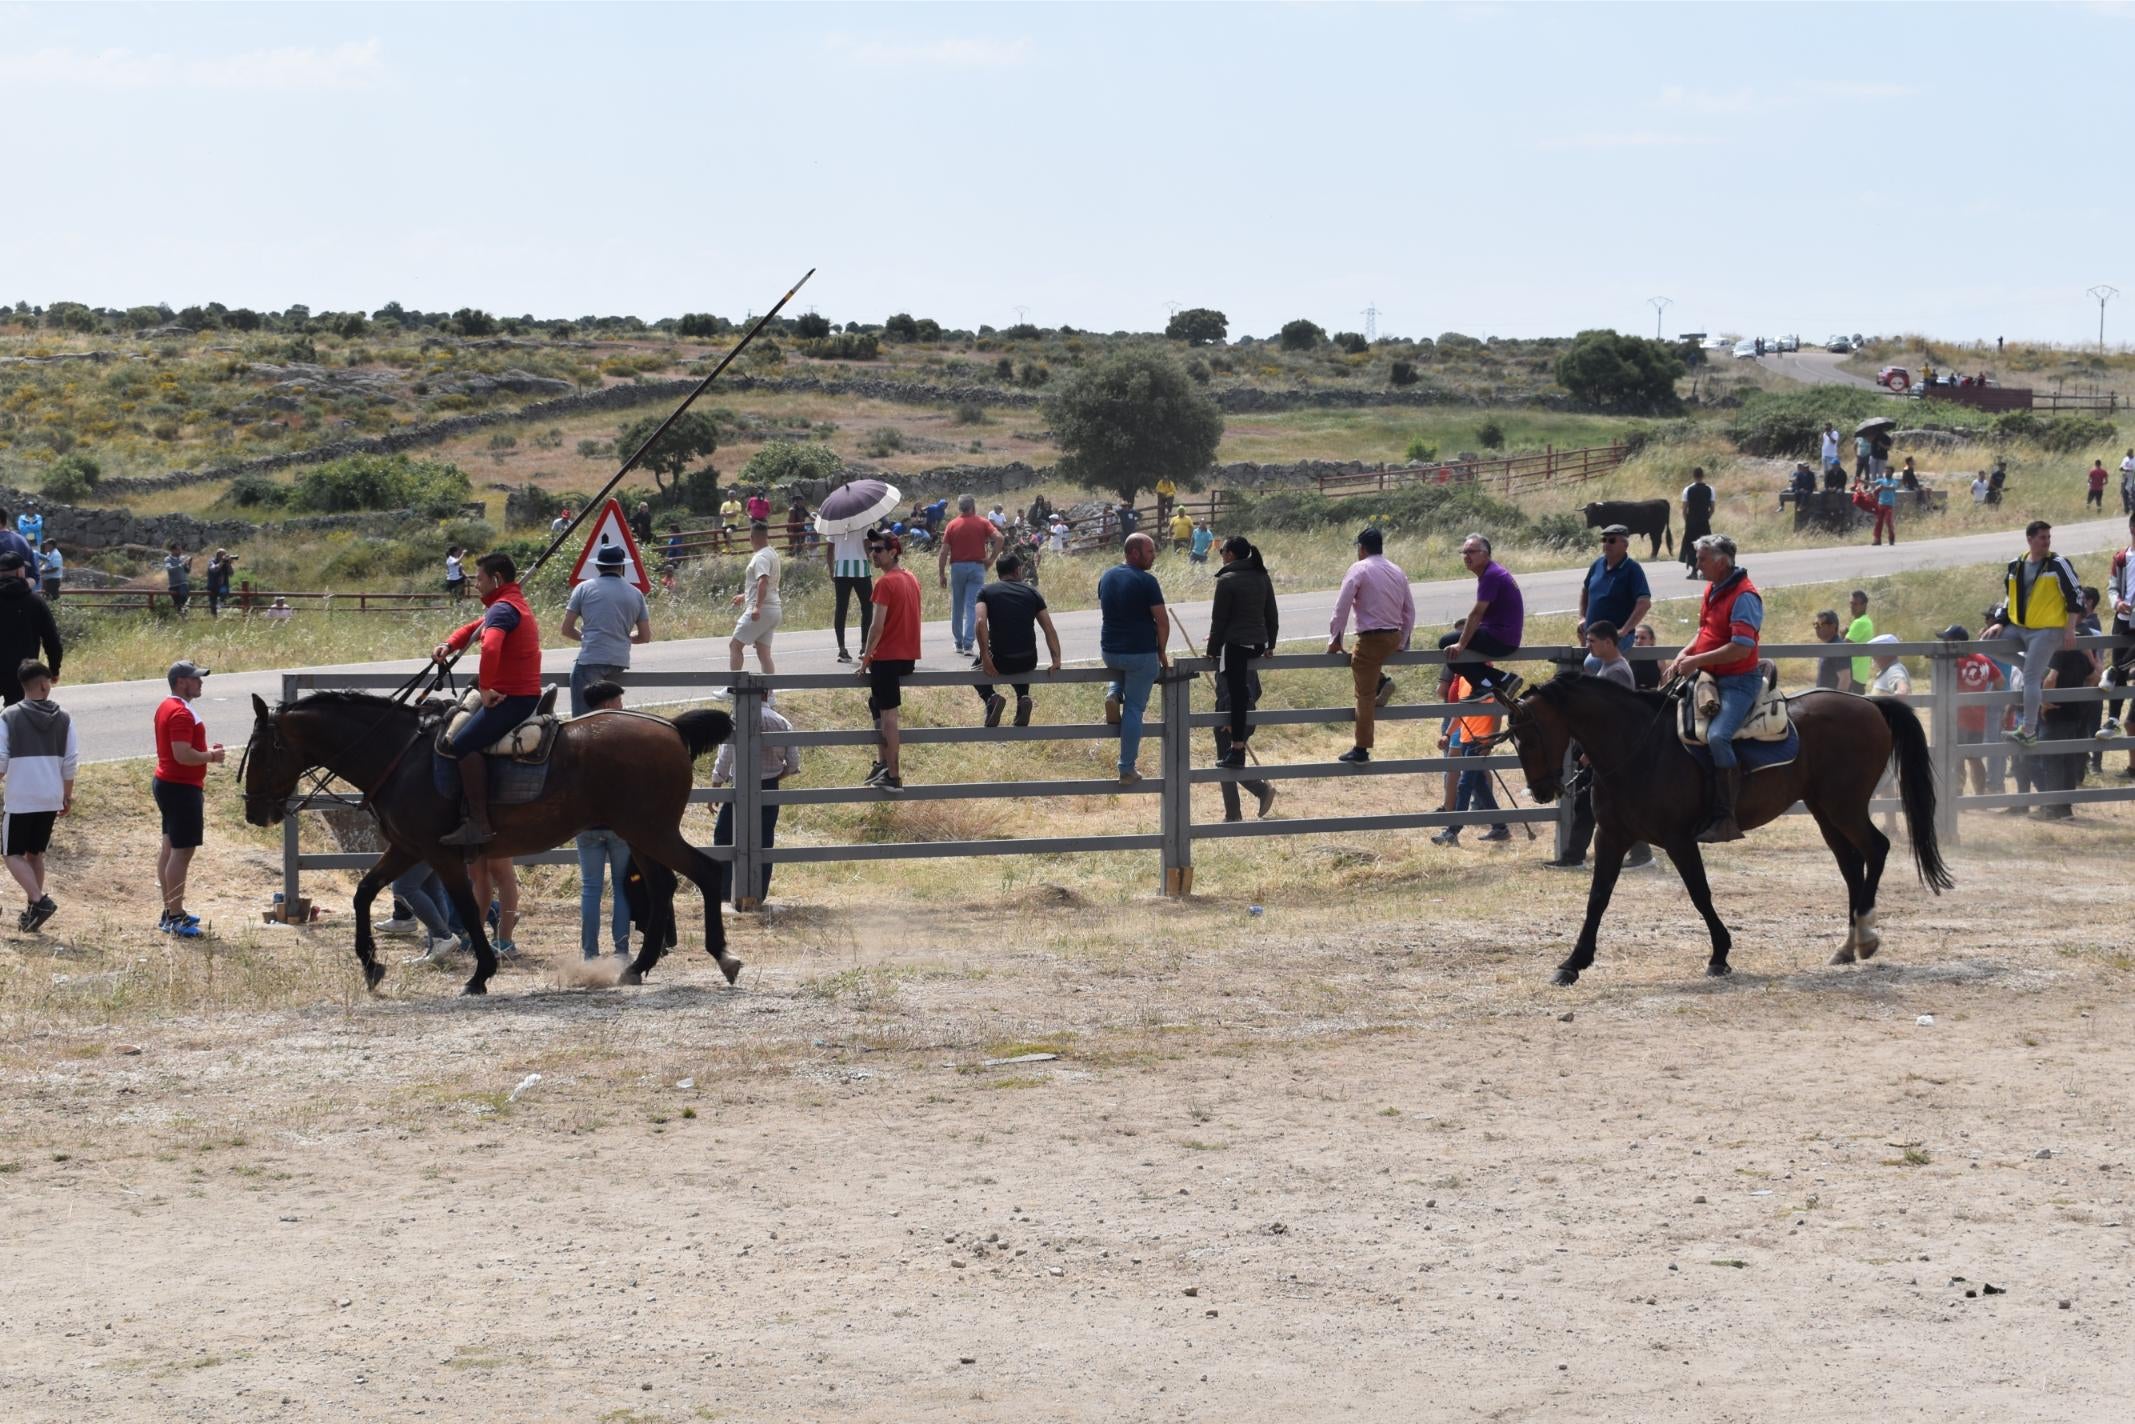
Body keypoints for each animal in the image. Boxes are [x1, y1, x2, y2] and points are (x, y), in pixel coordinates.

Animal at [241, 695, 738, 999]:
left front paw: (480, 973)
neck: (401, 756)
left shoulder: (440, 854)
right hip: (641, 835)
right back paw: (637, 966)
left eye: (262, 750)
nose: (253, 813)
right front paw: (370, 965)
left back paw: (723, 956)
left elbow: (465, 908)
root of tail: (670, 729)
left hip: (651, 831)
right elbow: (364, 892)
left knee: (706, 873)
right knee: (663, 886)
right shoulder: (407, 848)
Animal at [1503, 674, 1955, 986]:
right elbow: (1597, 899)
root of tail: (1868, 704)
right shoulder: (1611, 836)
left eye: (1529, 736)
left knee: (1876, 849)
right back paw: (1847, 946)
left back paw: (1865, 937)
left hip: (1844, 805)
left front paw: (1719, 955)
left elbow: (1700, 894)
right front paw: (1572, 963)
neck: (1638, 748)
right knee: (1850, 863)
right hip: (1824, 809)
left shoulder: (1678, 839)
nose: (1541, 791)